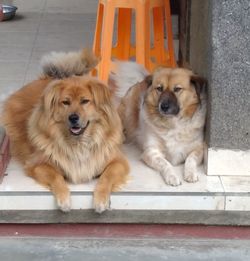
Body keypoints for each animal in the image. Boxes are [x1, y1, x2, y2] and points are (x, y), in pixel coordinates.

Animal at [2, 50, 129, 211]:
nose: (73, 117)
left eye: (85, 101)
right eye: (65, 102)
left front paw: (101, 199)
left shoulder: (118, 162)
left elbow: (107, 177)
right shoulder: (38, 164)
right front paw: (64, 199)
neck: (78, 143)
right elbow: (55, 176)